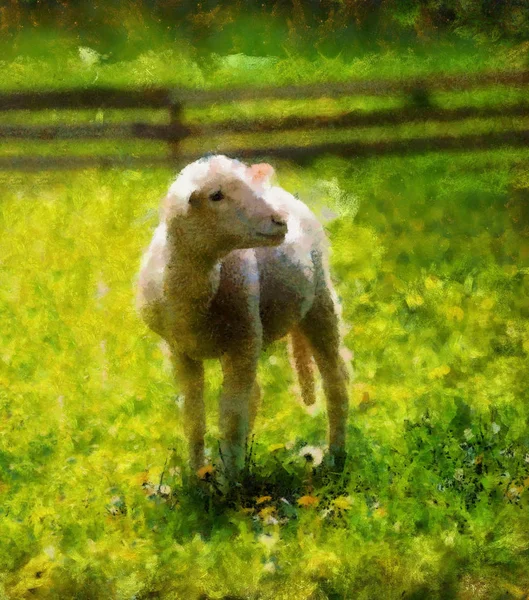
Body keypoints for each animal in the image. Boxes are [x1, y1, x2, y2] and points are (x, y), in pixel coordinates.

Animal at [138, 156, 348, 478]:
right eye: (216, 196)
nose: (279, 222)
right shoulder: (180, 350)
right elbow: (193, 415)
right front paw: (199, 476)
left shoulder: (243, 343)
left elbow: (231, 418)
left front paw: (229, 483)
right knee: (255, 394)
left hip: (319, 302)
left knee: (335, 380)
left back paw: (335, 456)